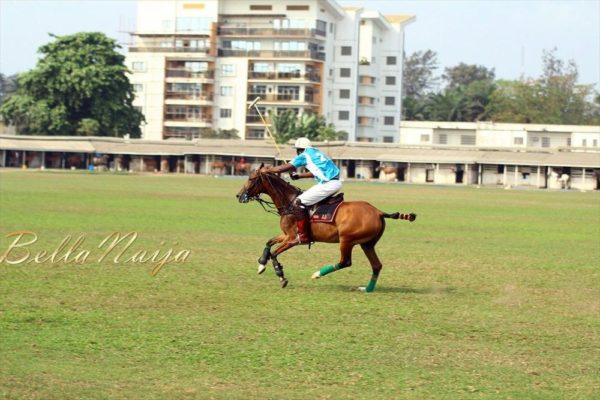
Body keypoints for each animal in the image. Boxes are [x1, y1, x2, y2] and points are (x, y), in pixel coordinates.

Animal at [237, 164, 414, 292]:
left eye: (251, 178)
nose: (239, 196)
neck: (289, 202)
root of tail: (378, 212)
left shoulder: (294, 239)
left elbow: (274, 254)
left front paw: (281, 277)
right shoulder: (286, 235)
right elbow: (269, 242)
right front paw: (261, 264)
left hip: (347, 240)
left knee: (345, 262)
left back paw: (317, 274)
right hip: (367, 244)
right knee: (376, 265)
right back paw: (367, 289)